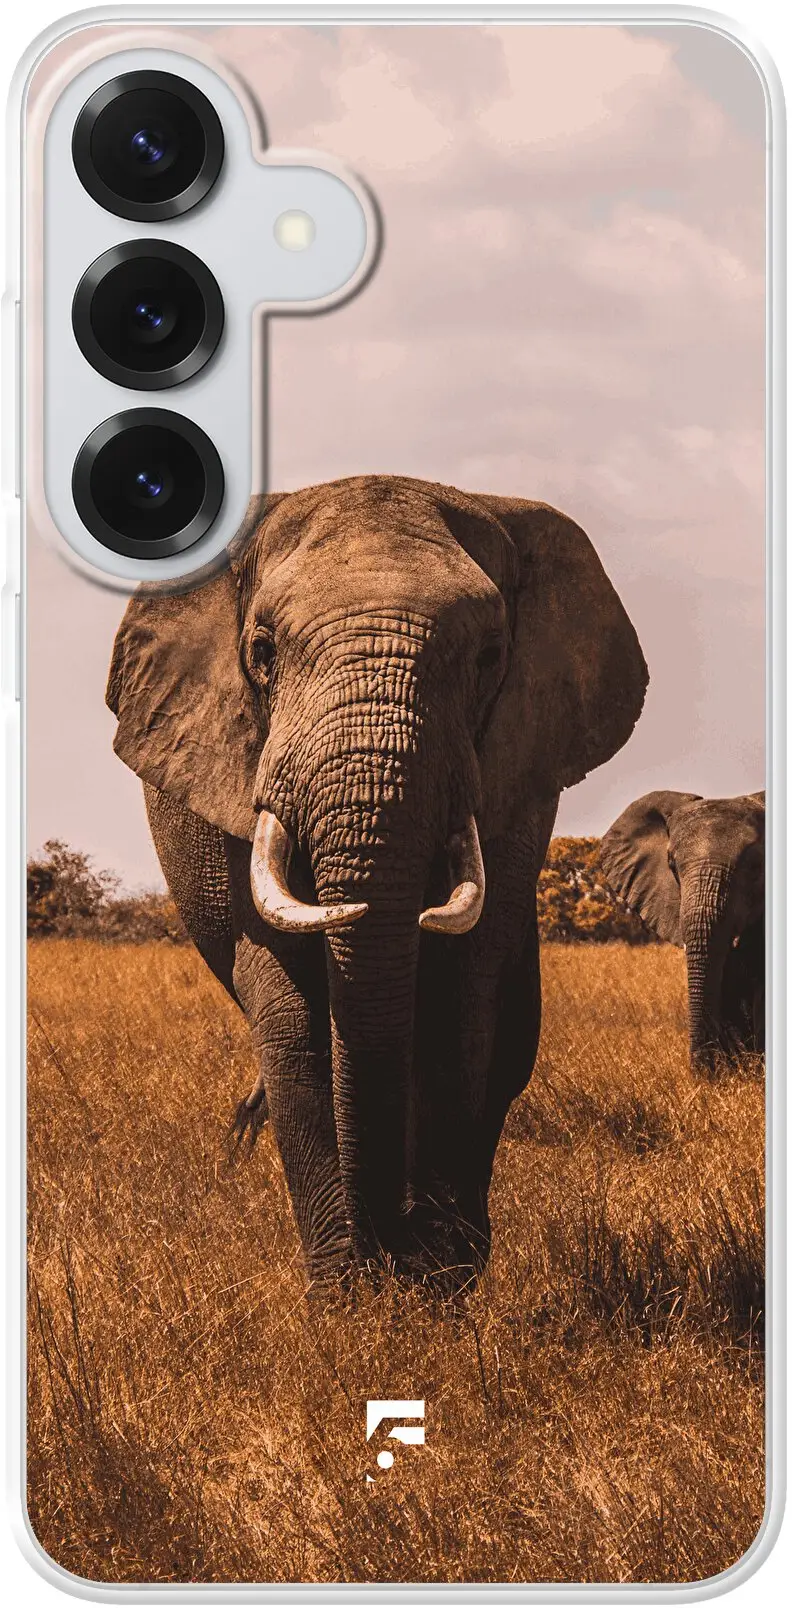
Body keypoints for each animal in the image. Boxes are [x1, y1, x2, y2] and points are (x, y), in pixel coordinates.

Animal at [107, 475, 647, 1291]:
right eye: (262, 652)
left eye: (490, 656)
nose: (389, 1250)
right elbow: (293, 1015)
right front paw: (348, 1298)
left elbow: (462, 1002)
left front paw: (437, 1288)